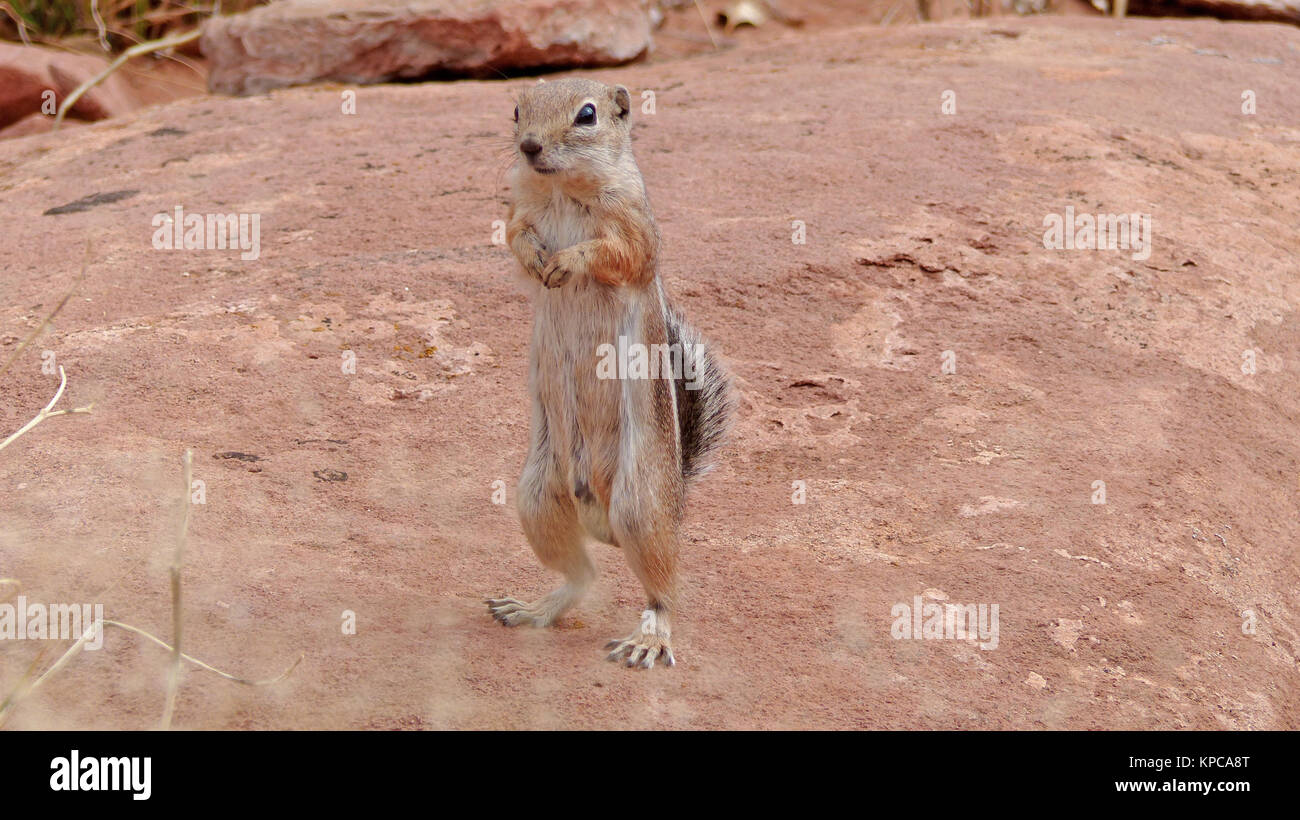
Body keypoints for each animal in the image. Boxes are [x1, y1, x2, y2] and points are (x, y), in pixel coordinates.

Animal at [486, 76, 733, 670]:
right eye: (516, 110)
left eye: (588, 115)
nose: (528, 146)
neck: (561, 189)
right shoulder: (518, 210)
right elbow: (515, 237)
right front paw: (536, 259)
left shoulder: (633, 230)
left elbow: (614, 253)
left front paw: (566, 261)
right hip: (537, 496)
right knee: (584, 576)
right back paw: (533, 608)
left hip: (640, 503)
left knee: (663, 592)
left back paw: (650, 637)